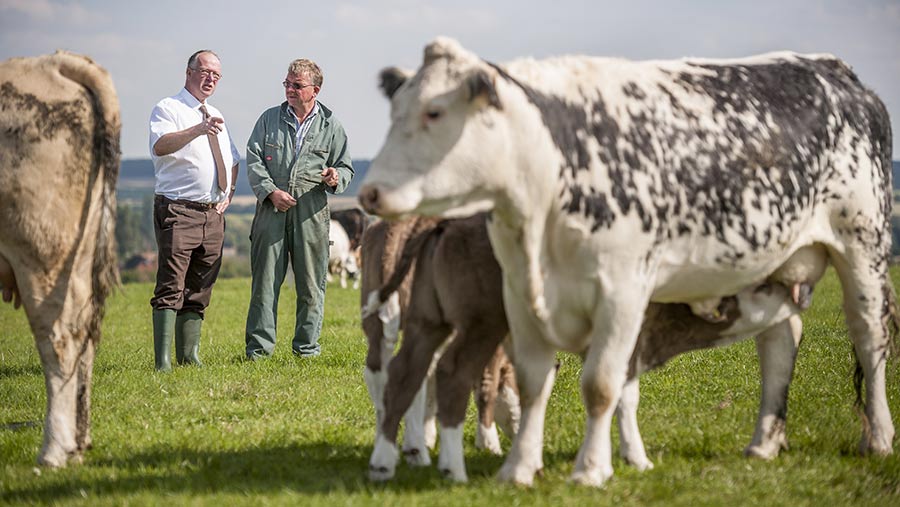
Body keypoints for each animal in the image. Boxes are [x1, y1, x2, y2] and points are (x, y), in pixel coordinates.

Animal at [0, 51, 119, 468]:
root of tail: (57, 62)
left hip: (42, 251)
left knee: (59, 338)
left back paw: (53, 450)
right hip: (79, 251)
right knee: (84, 332)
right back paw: (77, 442)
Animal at [360, 37, 900, 486]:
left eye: (434, 112)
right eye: (396, 110)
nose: (370, 192)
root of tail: (837, 71)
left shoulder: (623, 294)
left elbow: (603, 385)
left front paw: (593, 468)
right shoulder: (520, 295)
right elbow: (537, 382)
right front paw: (521, 468)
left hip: (863, 243)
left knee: (868, 335)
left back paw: (877, 438)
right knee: (781, 341)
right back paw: (764, 442)